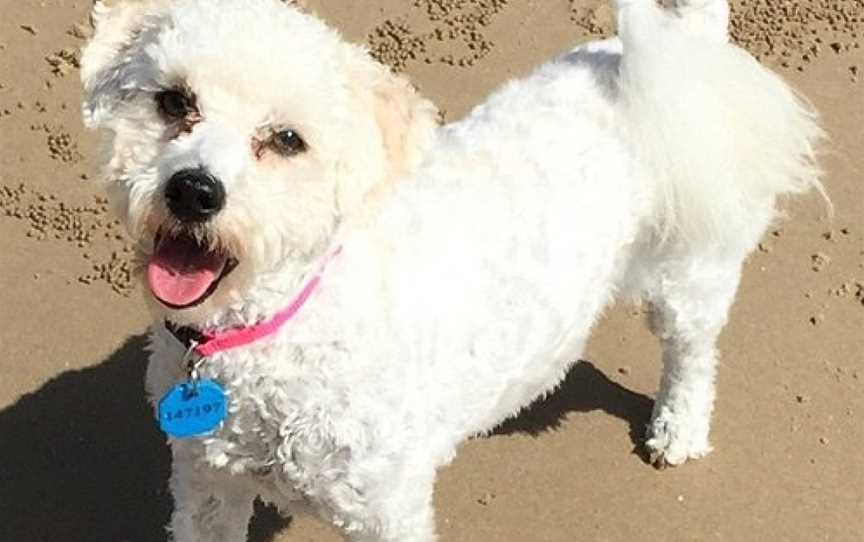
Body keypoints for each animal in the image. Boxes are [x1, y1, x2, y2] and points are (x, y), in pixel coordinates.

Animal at [81, 0, 824, 540]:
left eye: (287, 140)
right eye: (174, 102)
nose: (193, 191)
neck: (282, 323)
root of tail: (685, 43)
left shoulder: (385, 510)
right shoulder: (208, 481)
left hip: (688, 269)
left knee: (692, 353)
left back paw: (679, 427)